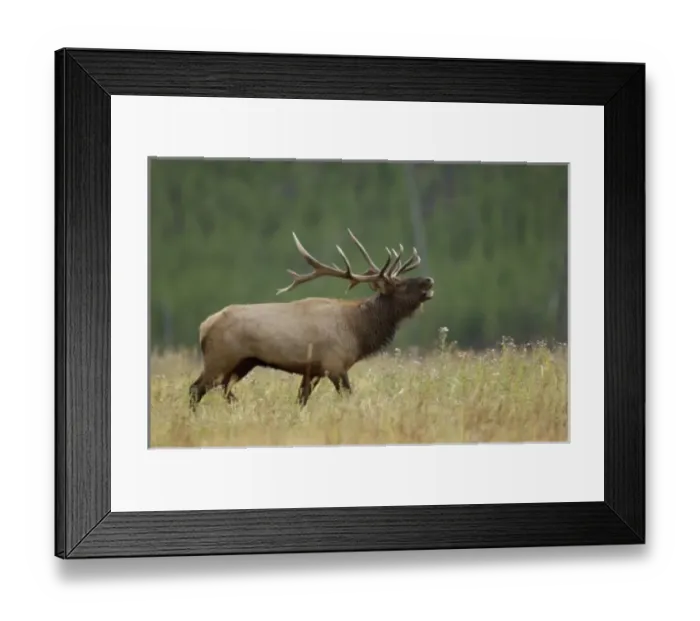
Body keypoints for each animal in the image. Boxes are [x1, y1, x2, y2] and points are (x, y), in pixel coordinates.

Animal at [188, 229, 434, 410]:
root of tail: (203, 326)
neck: (358, 330)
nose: (429, 280)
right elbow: (348, 396)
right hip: (220, 358)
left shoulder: (313, 371)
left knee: (223, 389)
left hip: (243, 362)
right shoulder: (335, 365)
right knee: (196, 389)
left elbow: (301, 401)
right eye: (399, 284)